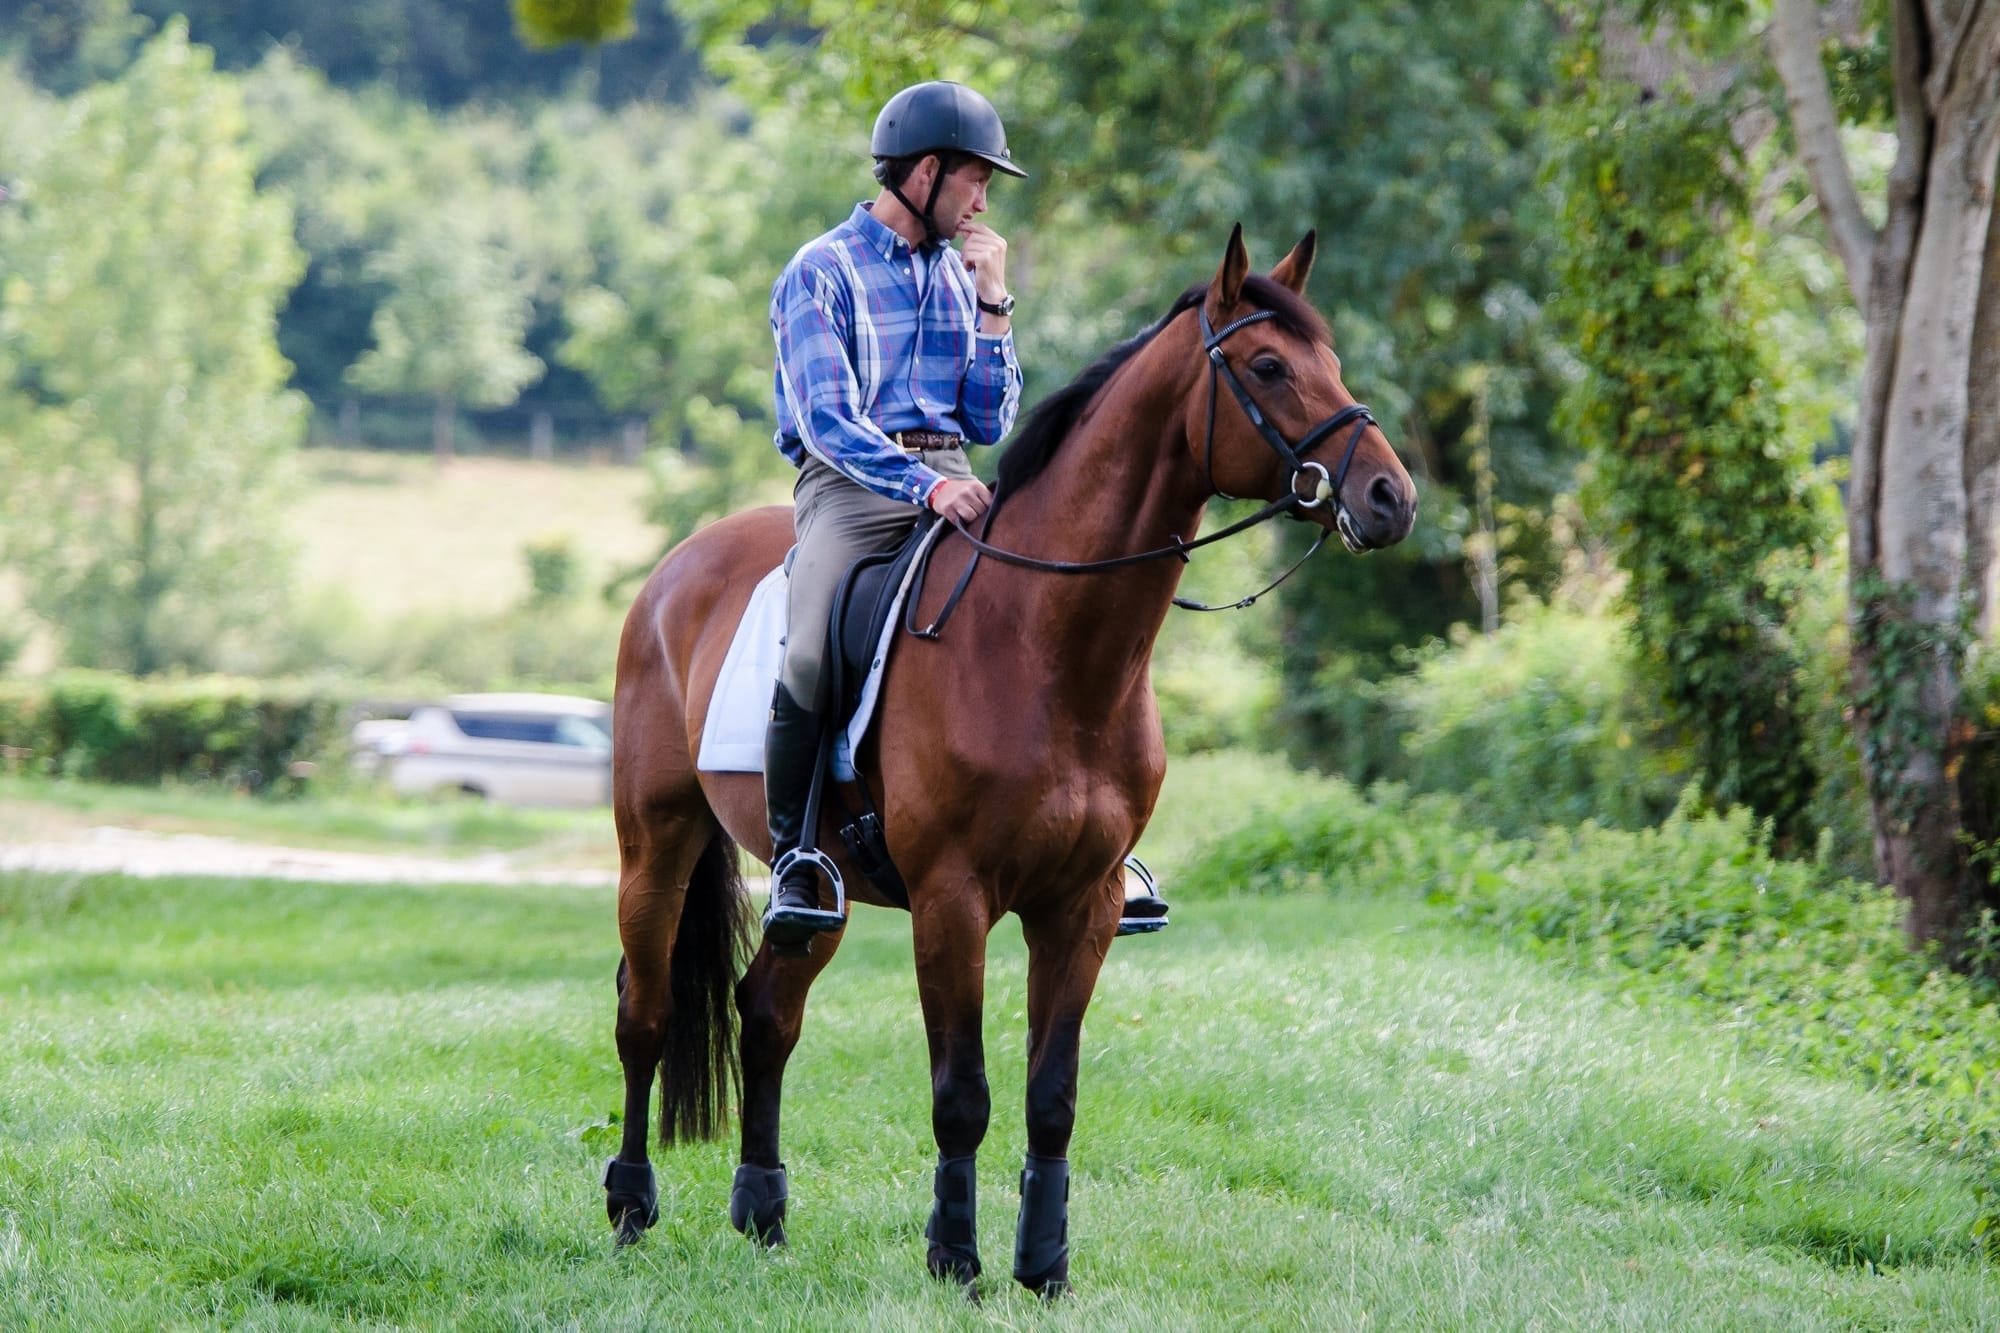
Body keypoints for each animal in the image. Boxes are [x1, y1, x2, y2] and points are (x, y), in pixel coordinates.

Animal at [602, 225, 1417, 1294]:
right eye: (1271, 367)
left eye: (1333, 362)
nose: (1391, 498)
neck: (1045, 643)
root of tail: (672, 574)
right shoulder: (953, 900)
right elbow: (963, 1092)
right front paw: (955, 1256)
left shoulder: (1083, 904)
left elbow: (1051, 1095)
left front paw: (1044, 1267)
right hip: (657, 844)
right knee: (647, 1015)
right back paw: (629, 1208)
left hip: (814, 892)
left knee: (765, 1012)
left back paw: (764, 1218)